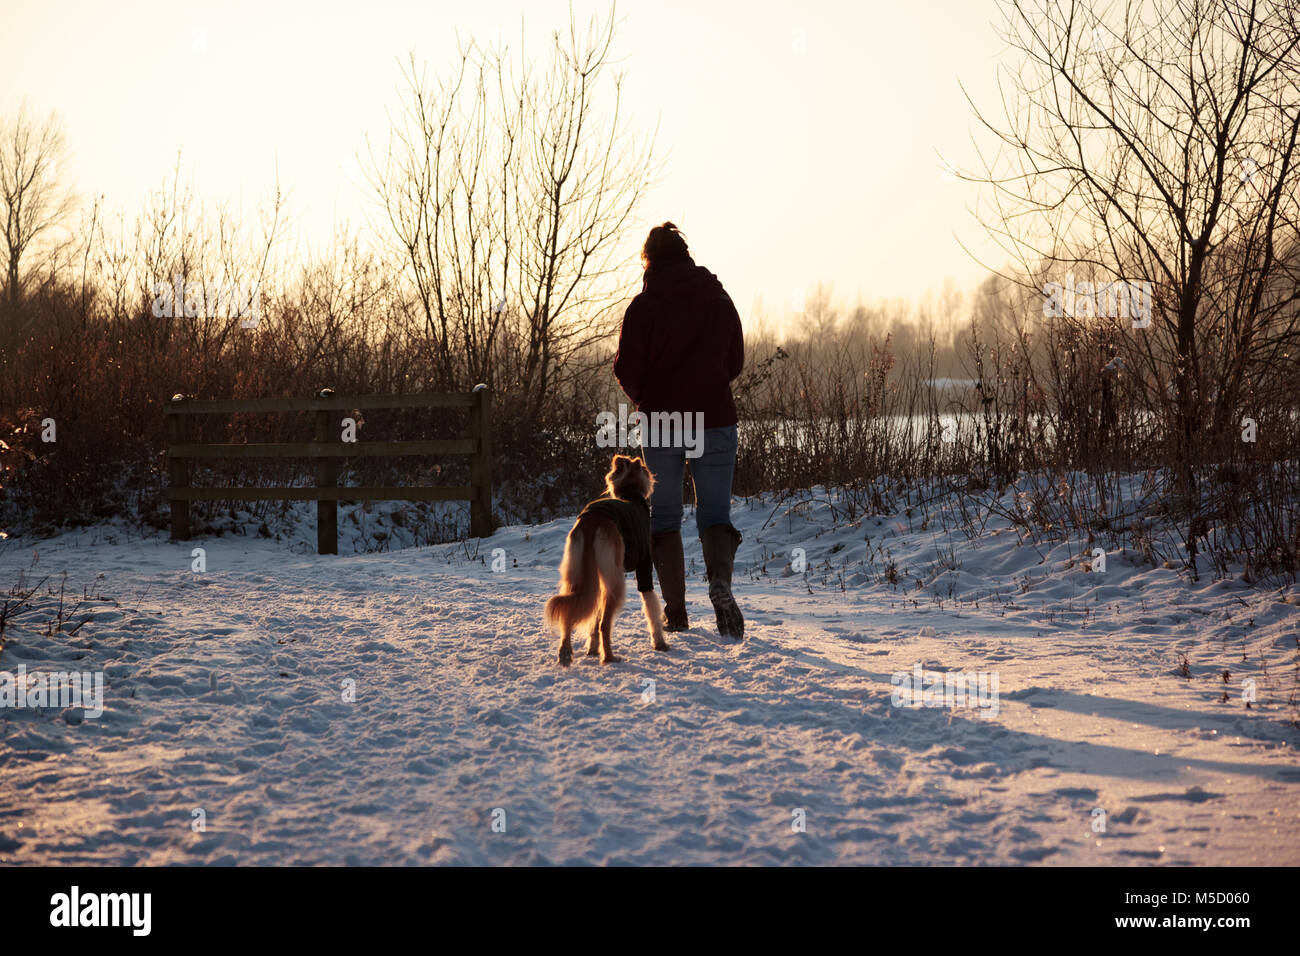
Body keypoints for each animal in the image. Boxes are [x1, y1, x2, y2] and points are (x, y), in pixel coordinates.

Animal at [546, 455, 670, 665]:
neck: (631, 494)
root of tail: (592, 520)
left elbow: (593, 619)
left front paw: (592, 648)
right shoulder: (644, 566)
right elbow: (651, 608)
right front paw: (659, 643)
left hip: (579, 574)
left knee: (569, 612)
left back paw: (565, 652)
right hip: (615, 581)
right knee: (604, 623)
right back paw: (610, 657)